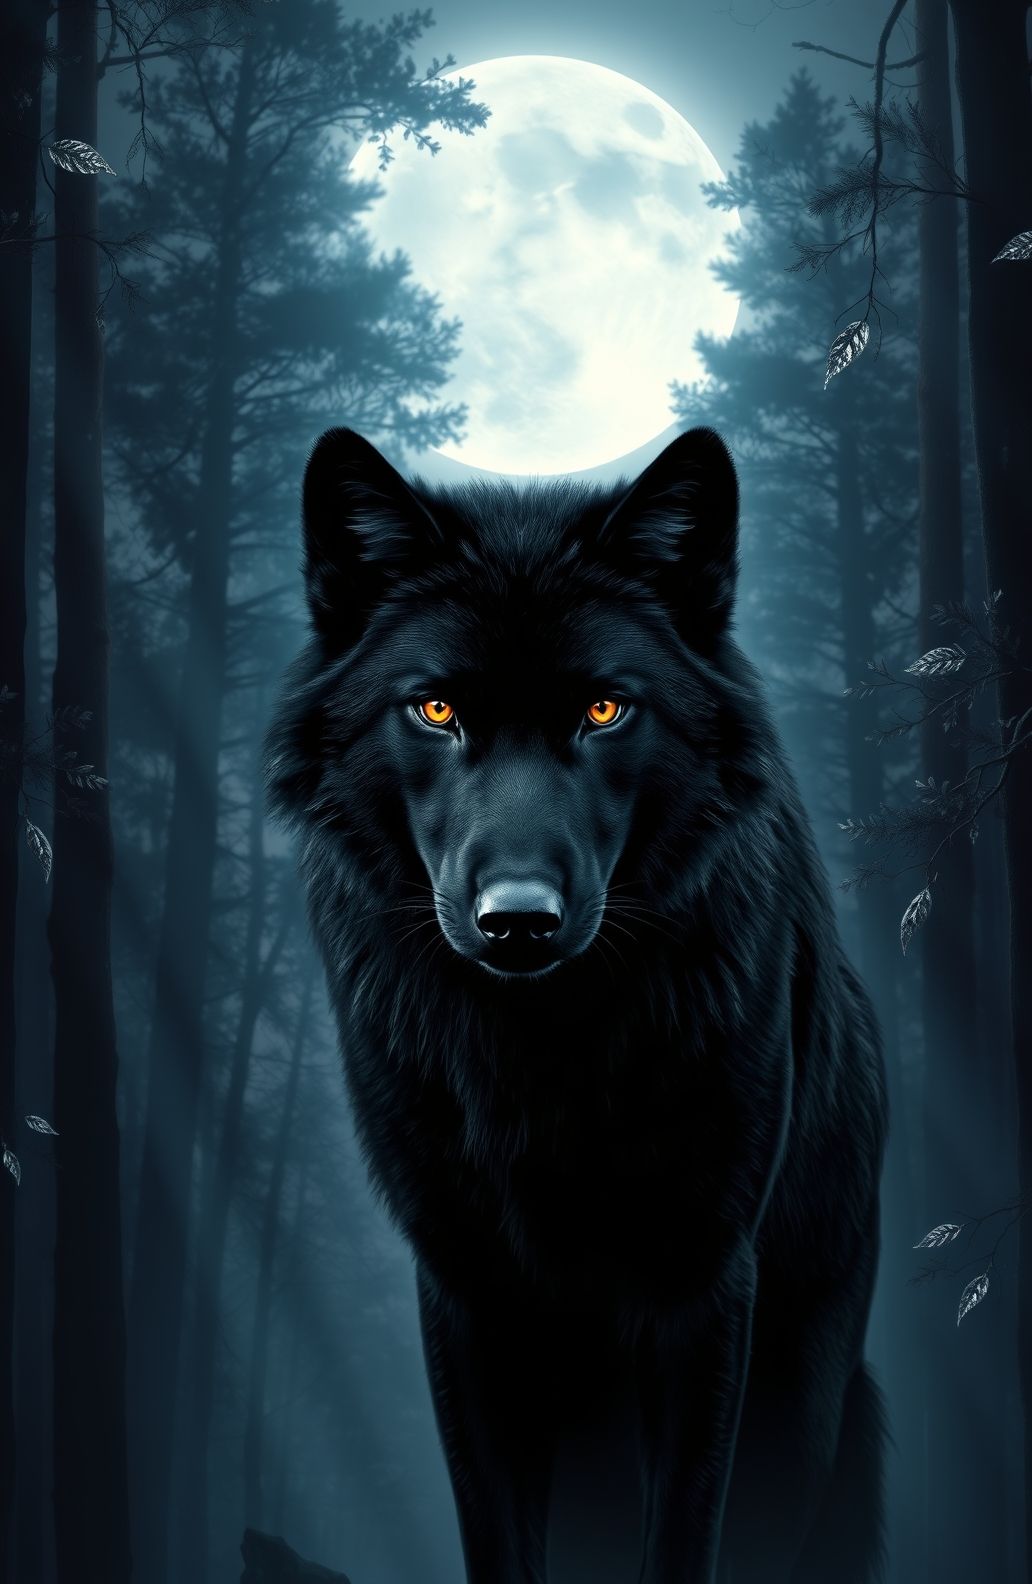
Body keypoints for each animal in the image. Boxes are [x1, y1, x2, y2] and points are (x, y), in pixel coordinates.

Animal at [267, 425, 888, 1584]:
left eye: (605, 708)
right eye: (436, 709)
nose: (518, 921)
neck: (538, 1053)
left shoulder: (704, 1292)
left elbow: (684, 1540)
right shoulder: (466, 1297)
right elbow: (501, 1541)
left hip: (811, 1405)